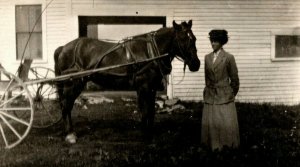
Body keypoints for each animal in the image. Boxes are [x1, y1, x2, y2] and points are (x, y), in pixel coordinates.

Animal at [54, 19, 199, 142]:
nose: (196, 64)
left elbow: (151, 110)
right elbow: (144, 111)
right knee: (66, 105)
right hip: (73, 84)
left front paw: (150, 133)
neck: (150, 52)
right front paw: (145, 135)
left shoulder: (152, 88)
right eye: (182, 38)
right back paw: (70, 134)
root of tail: (63, 48)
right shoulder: (143, 87)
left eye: (194, 38)